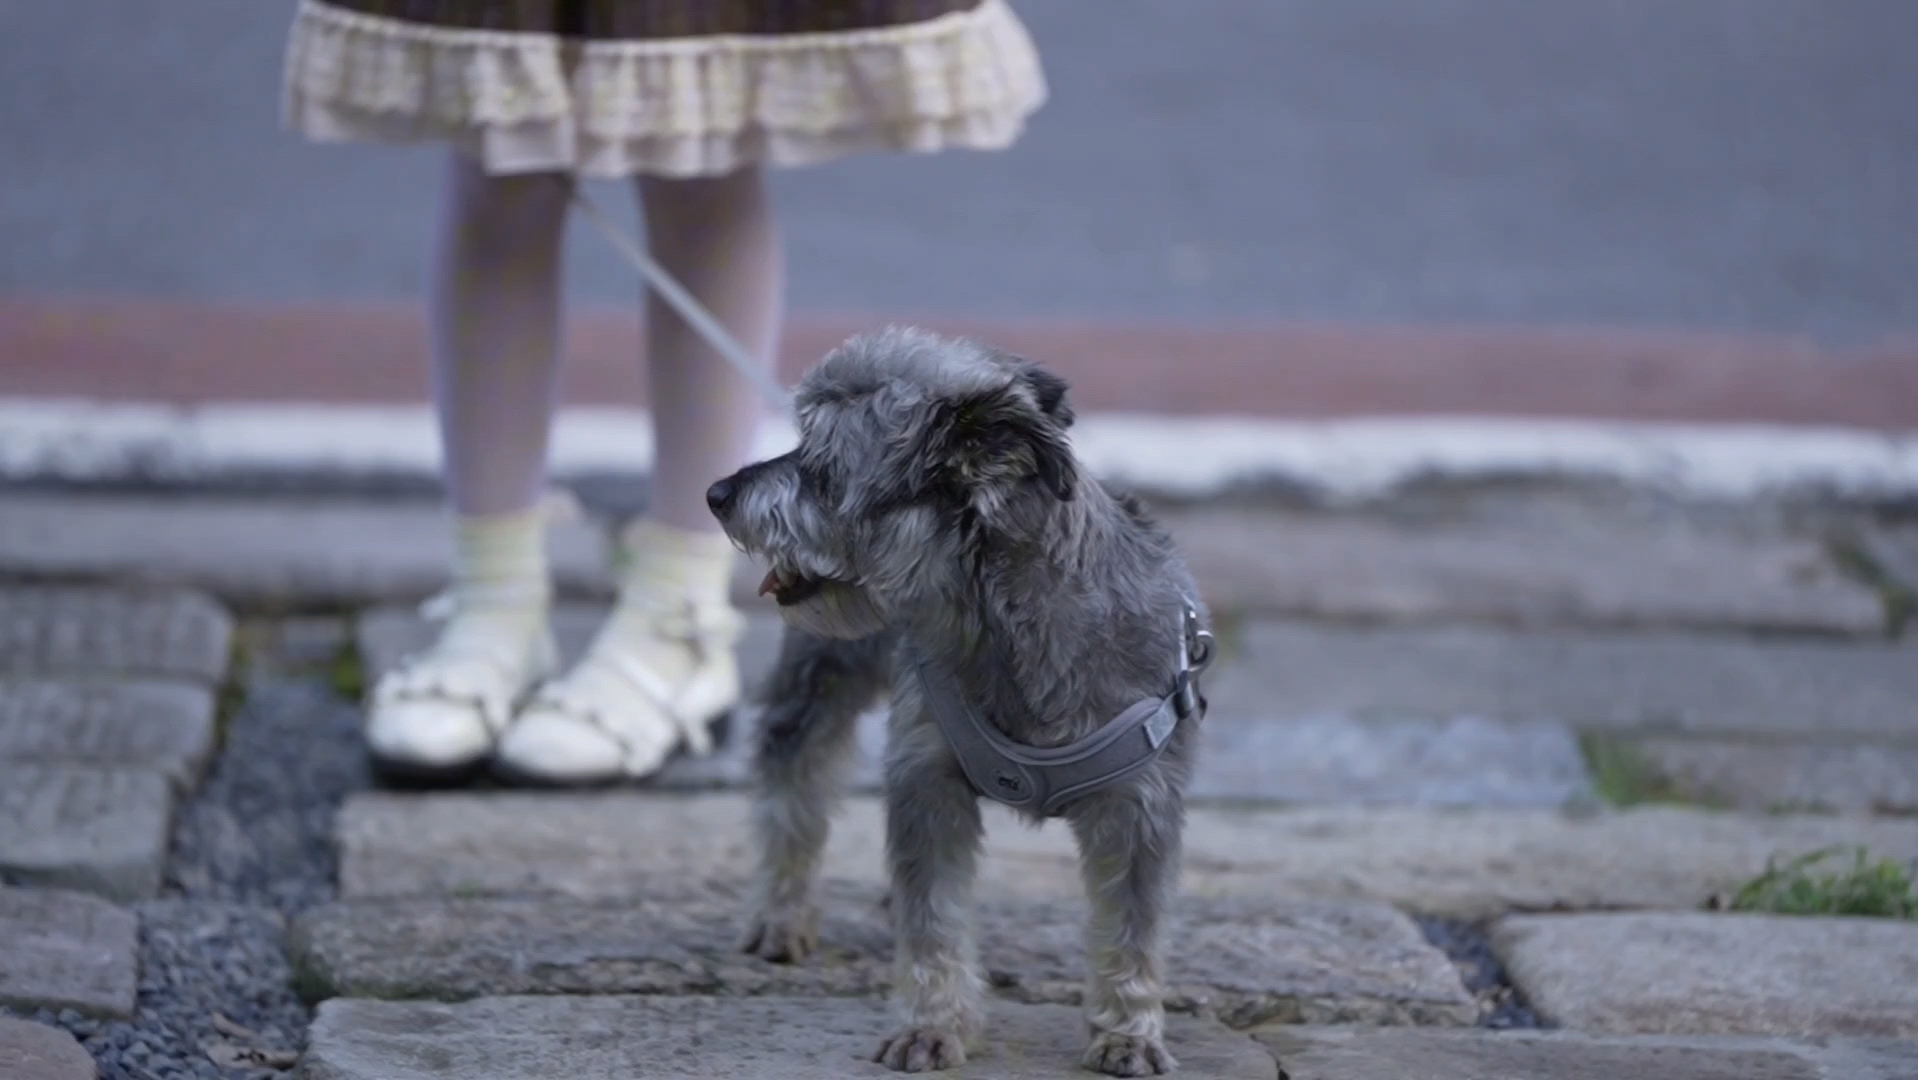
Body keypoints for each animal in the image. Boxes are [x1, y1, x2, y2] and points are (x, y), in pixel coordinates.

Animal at [705, 326, 1212, 1074]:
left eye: (820, 463)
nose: (717, 493)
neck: (1000, 623)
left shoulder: (1139, 808)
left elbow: (1132, 928)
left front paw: (1128, 1032)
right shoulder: (927, 780)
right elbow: (934, 921)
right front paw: (931, 1026)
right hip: (822, 677)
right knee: (791, 782)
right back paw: (779, 913)